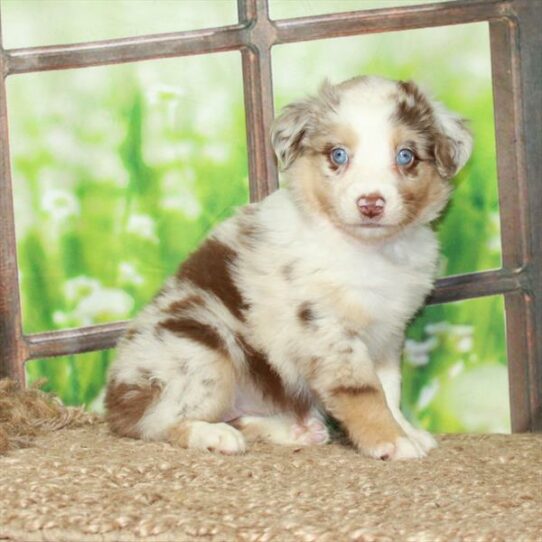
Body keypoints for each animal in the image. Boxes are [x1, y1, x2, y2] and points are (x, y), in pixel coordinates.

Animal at [105, 74, 472, 462]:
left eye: (405, 156)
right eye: (338, 155)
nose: (371, 204)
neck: (369, 249)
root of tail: (114, 400)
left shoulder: (388, 331)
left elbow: (390, 388)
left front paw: (407, 430)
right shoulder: (325, 329)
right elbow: (364, 391)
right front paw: (391, 441)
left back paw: (298, 430)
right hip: (201, 349)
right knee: (156, 423)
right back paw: (214, 435)